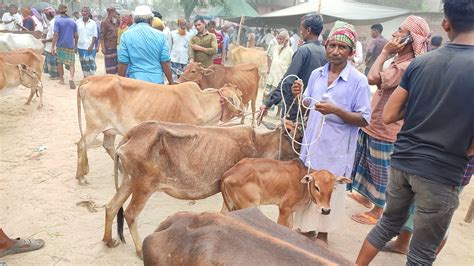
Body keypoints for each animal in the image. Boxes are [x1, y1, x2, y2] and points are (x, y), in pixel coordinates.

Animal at [103, 121, 300, 256]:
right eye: (298, 136)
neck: (260, 143)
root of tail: (133, 133)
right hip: (143, 186)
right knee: (130, 214)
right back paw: (139, 250)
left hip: (129, 181)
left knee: (111, 207)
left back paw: (108, 240)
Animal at [221, 158, 352, 227]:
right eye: (316, 187)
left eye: (333, 188)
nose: (326, 210)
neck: (302, 183)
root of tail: (228, 174)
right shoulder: (284, 208)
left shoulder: (291, 211)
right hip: (248, 205)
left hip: (228, 204)